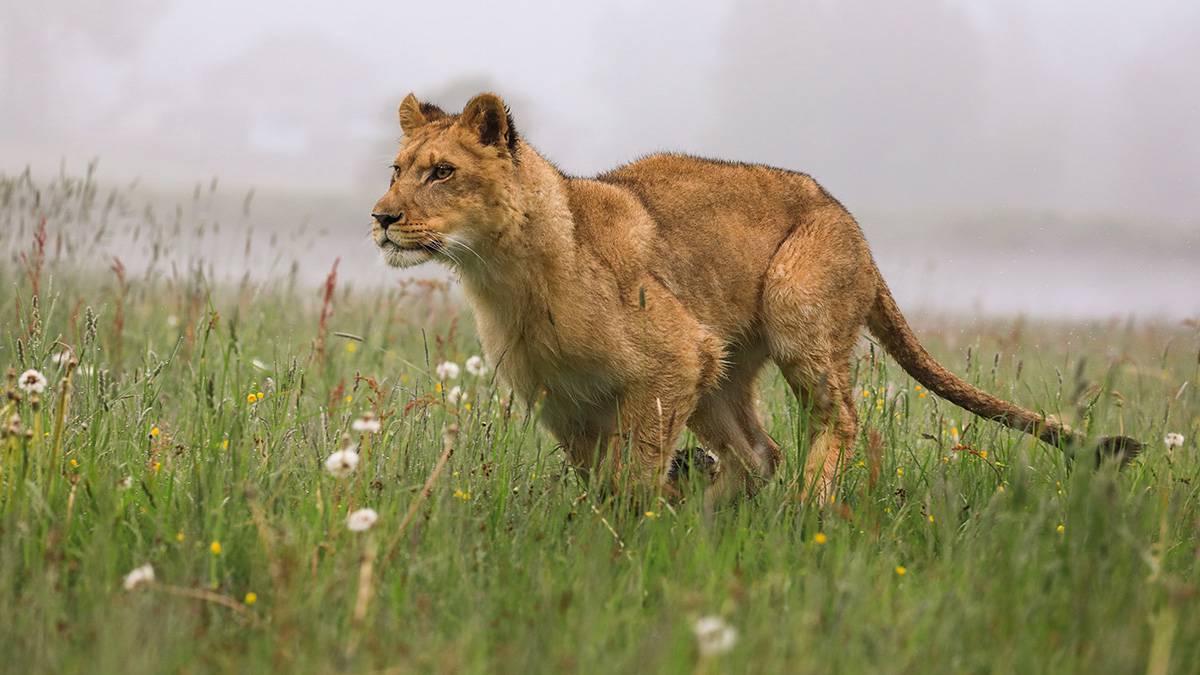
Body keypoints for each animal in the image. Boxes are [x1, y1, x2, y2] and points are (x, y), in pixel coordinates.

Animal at [369, 90, 1137, 499]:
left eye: (442, 171)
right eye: (397, 169)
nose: (380, 217)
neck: (504, 275)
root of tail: (848, 217)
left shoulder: (672, 360)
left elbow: (632, 476)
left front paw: (635, 532)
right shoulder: (564, 399)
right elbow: (601, 476)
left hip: (795, 308)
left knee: (839, 421)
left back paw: (808, 506)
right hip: (723, 370)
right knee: (757, 452)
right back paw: (718, 508)